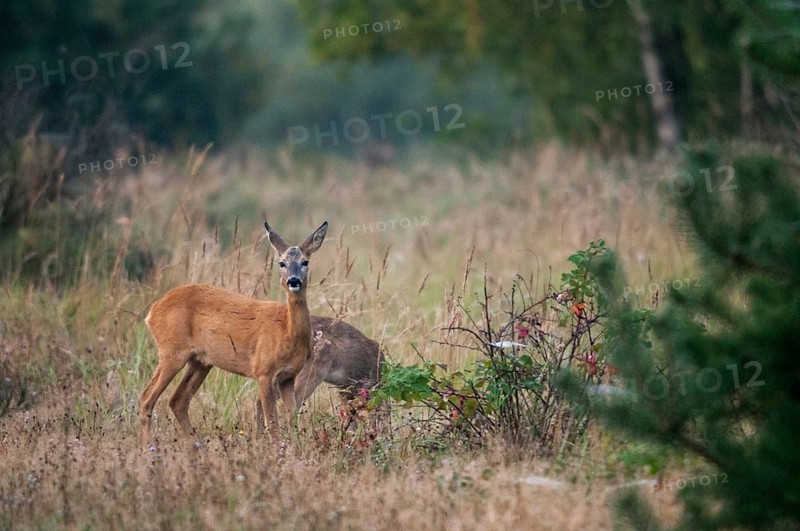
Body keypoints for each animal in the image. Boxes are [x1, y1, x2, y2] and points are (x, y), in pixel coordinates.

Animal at [139, 220, 328, 443]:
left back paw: (196, 445)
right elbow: (273, 424)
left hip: (200, 361)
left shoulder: (288, 376)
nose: (293, 281)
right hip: (172, 352)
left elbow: (292, 422)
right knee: (147, 398)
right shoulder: (263, 371)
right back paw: (149, 447)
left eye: (305, 261)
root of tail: (152, 311)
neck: (287, 331)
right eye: (281, 263)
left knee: (177, 401)